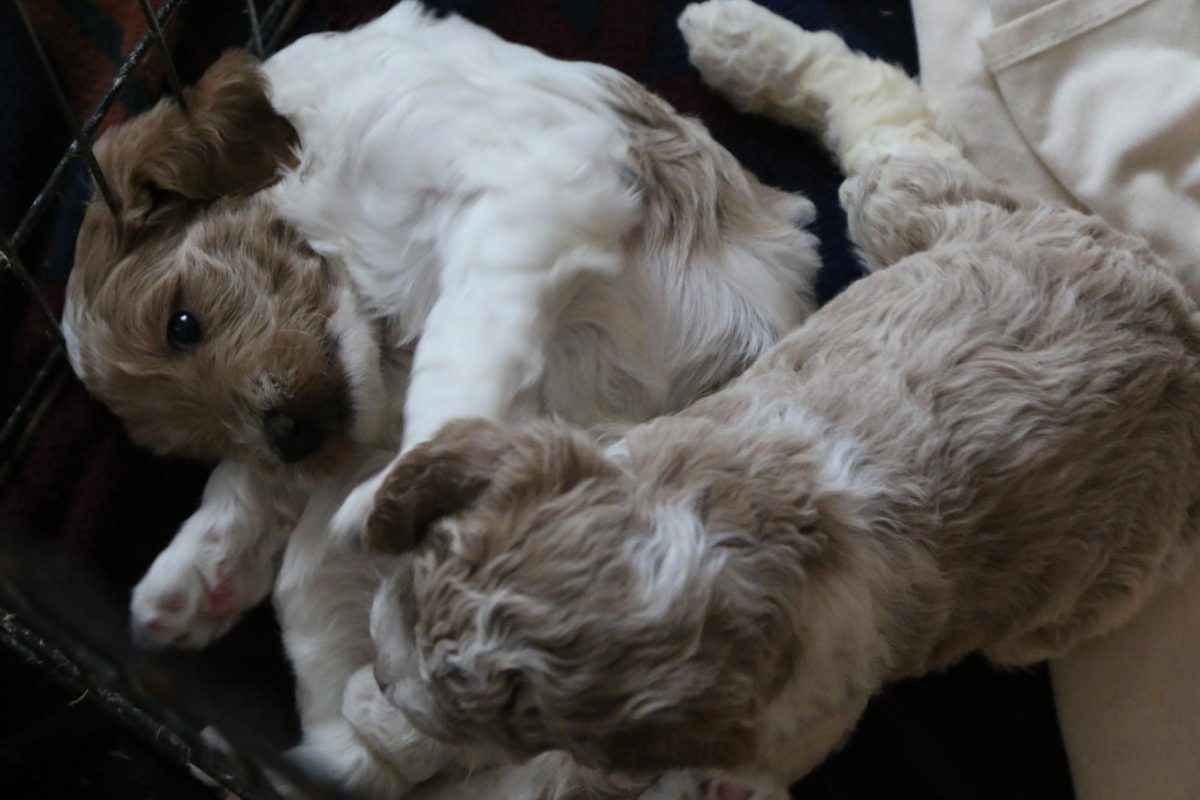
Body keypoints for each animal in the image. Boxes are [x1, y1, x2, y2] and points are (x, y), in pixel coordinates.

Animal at [60, 3, 820, 796]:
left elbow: (461, 335)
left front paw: (408, 467)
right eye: (188, 438)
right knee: (380, 751)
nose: (287, 436)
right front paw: (193, 577)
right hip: (324, 604)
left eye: (183, 323)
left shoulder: (525, 182)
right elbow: (249, 483)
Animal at [362, 3, 1200, 796]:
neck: (716, 522)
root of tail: (1177, 324)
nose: (384, 677)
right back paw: (740, 42)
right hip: (920, 210)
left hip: (1082, 593)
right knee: (880, 103)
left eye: (500, 716)